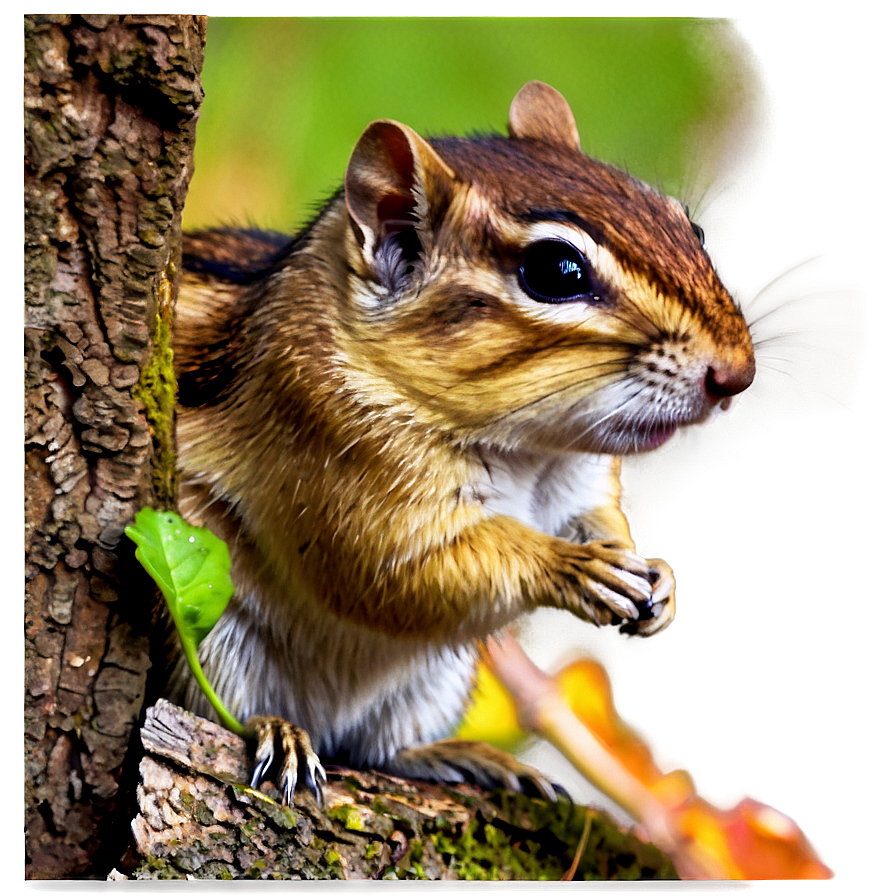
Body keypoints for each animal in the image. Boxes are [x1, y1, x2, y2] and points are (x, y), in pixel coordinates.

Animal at [169, 82, 755, 803]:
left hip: (431, 687)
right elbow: (397, 569)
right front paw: (572, 567)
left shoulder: (579, 484)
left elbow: (594, 519)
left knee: (375, 748)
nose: (736, 376)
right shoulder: (338, 462)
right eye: (557, 270)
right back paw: (280, 732)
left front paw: (656, 578)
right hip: (209, 632)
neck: (531, 451)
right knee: (229, 711)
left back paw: (457, 756)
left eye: (689, 227)